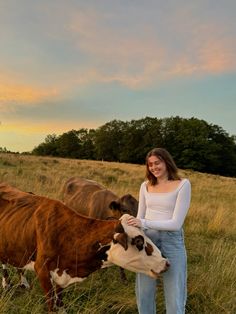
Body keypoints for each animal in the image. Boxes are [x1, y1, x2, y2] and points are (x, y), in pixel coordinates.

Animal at [0, 183, 170, 312]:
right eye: (139, 241)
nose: (166, 263)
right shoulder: (42, 270)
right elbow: (51, 304)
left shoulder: (61, 273)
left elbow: (59, 300)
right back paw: (6, 285)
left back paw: (23, 283)